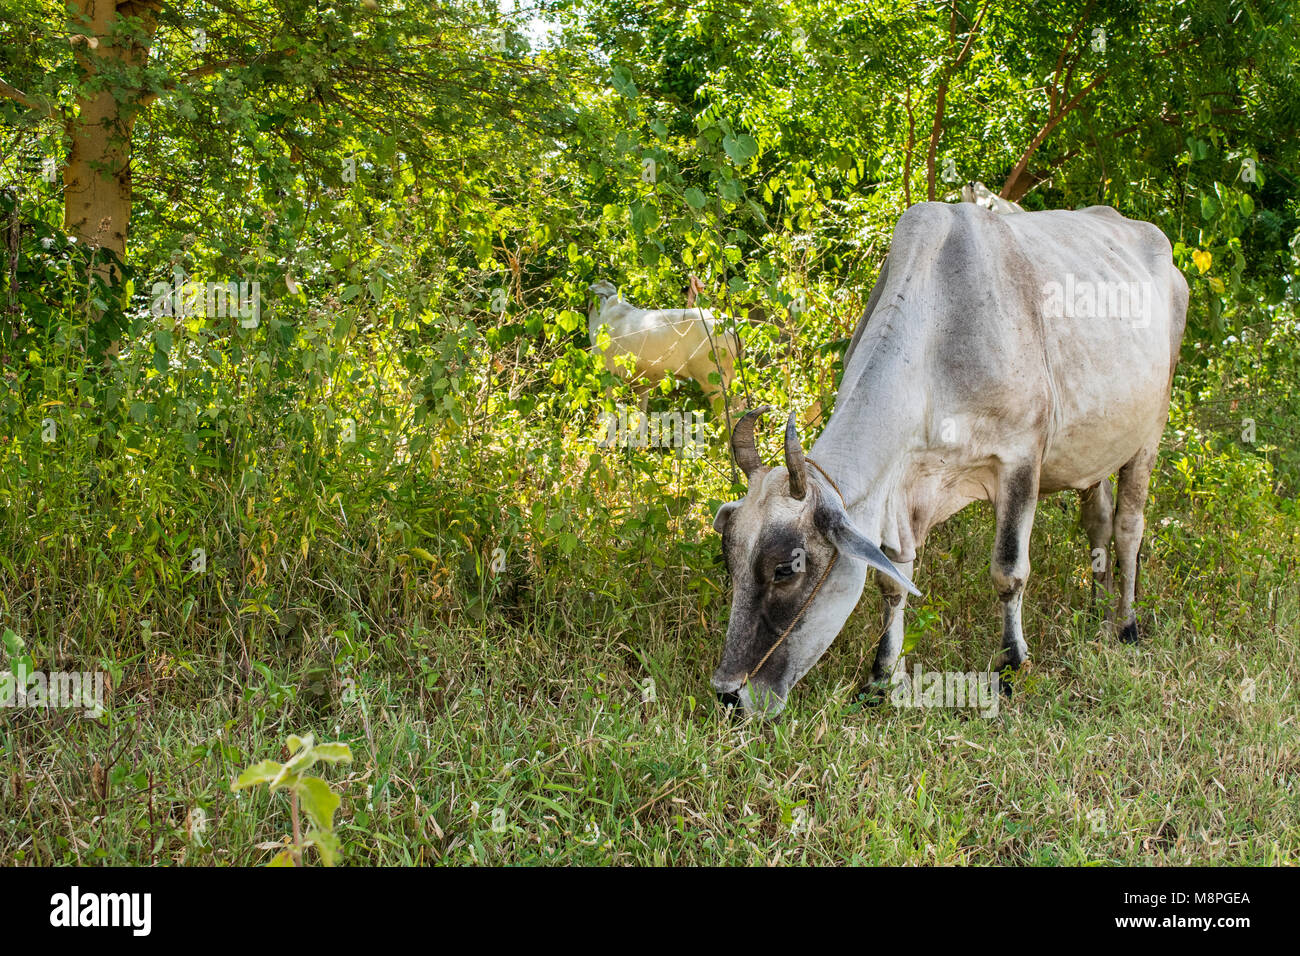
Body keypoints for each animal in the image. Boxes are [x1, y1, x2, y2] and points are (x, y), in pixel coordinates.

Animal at [712, 201, 1190, 712]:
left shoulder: (1021, 460)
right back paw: (1098, 612)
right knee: (1098, 519)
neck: (942, 333)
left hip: (1150, 433)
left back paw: (1126, 623)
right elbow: (892, 582)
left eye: (786, 569)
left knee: (1127, 528)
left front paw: (1011, 665)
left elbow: (1008, 571)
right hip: (1091, 450)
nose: (728, 694)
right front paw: (882, 677)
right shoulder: (901, 489)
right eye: (729, 561)